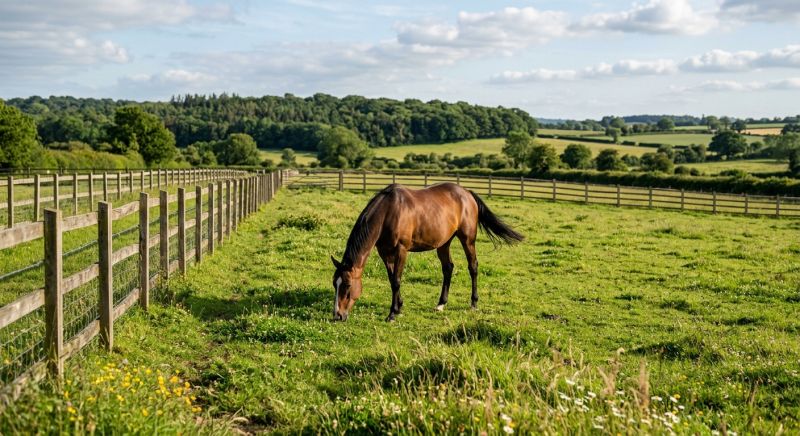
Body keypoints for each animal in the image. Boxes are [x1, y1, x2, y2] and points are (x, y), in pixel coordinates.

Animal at [331, 182, 524, 322]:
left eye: (348, 285)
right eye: (335, 284)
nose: (338, 315)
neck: (388, 212)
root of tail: (467, 193)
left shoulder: (401, 250)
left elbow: (396, 281)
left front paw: (392, 313)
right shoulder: (384, 252)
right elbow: (392, 279)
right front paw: (399, 306)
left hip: (468, 239)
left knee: (473, 267)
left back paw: (473, 303)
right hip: (444, 243)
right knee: (448, 268)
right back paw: (441, 304)